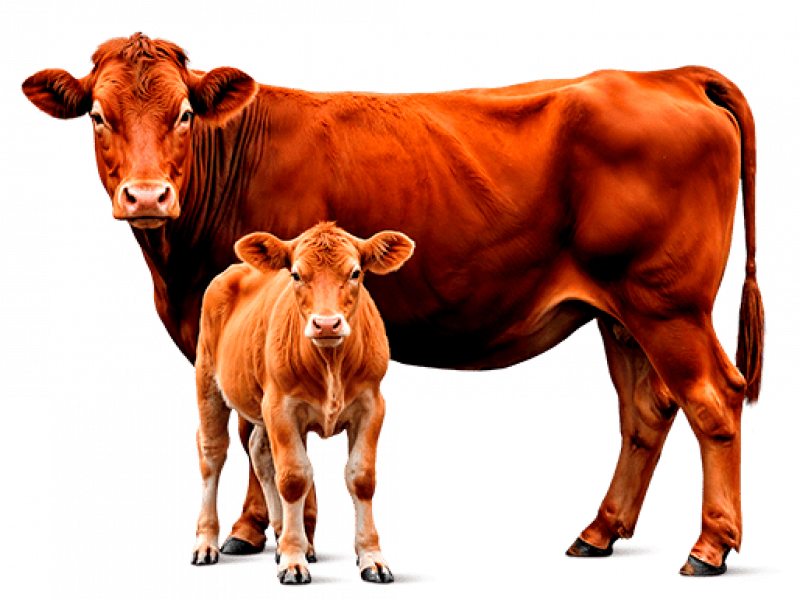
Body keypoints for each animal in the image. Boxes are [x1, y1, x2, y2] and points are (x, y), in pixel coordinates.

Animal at [191, 222, 414, 583]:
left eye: (355, 272)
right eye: (296, 274)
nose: (326, 324)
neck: (331, 362)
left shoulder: (373, 405)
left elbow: (362, 478)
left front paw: (372, 558)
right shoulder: (281, 406)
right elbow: (295, 477)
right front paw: (293, 560)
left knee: (259, 451)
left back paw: (283, 535)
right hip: (208, 379)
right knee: (212, 455)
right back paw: (206, 542)